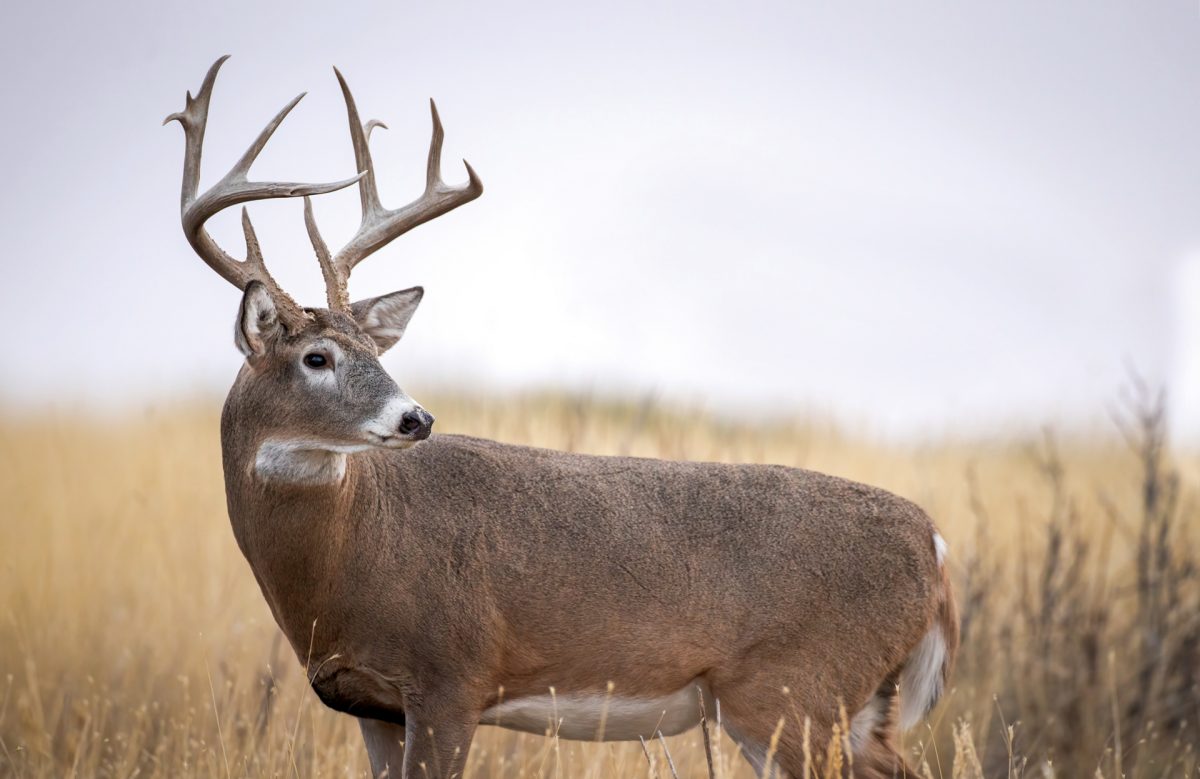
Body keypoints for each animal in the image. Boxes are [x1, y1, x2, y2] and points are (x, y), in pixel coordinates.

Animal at [166, 57, 955, 772]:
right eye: (317, 357)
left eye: (371, 349)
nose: (416, 419)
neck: (346, 560)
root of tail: (937, 544)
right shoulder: (372, 705)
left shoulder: (452, 677)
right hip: (840, 705)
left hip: (794, 690)